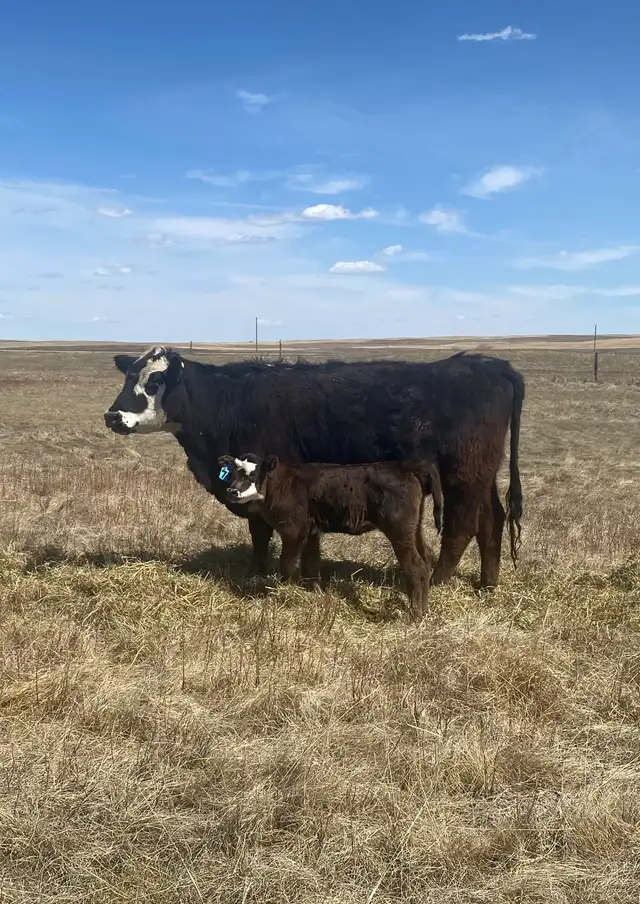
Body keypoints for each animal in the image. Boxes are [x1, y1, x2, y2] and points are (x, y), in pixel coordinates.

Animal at [104, 345, 524, 589]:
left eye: (154, 381)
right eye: (127, 377)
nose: (112, 416)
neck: (230, 400)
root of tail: (490, 365)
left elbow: (263, 530)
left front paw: (269, 575)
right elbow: (277, 536)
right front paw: (295, 575)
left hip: (463, 475)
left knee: (462, 526)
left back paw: (436, 581)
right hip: (483, 474)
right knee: (492, 519)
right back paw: (488, 585)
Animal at [217, 452, 444, 618]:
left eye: (252, 475)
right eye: (232, 473)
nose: (231, 492)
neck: (282, 484)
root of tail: (405, 466)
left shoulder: (293, 531)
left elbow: (287, 564)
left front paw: (283, 593)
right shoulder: (311, 532)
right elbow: (311, 564)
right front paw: (315, 593)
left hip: (399, 530)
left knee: (415, 567)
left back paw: (415, 614)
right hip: (414, 529)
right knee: (425, 559)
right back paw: (424, 609)